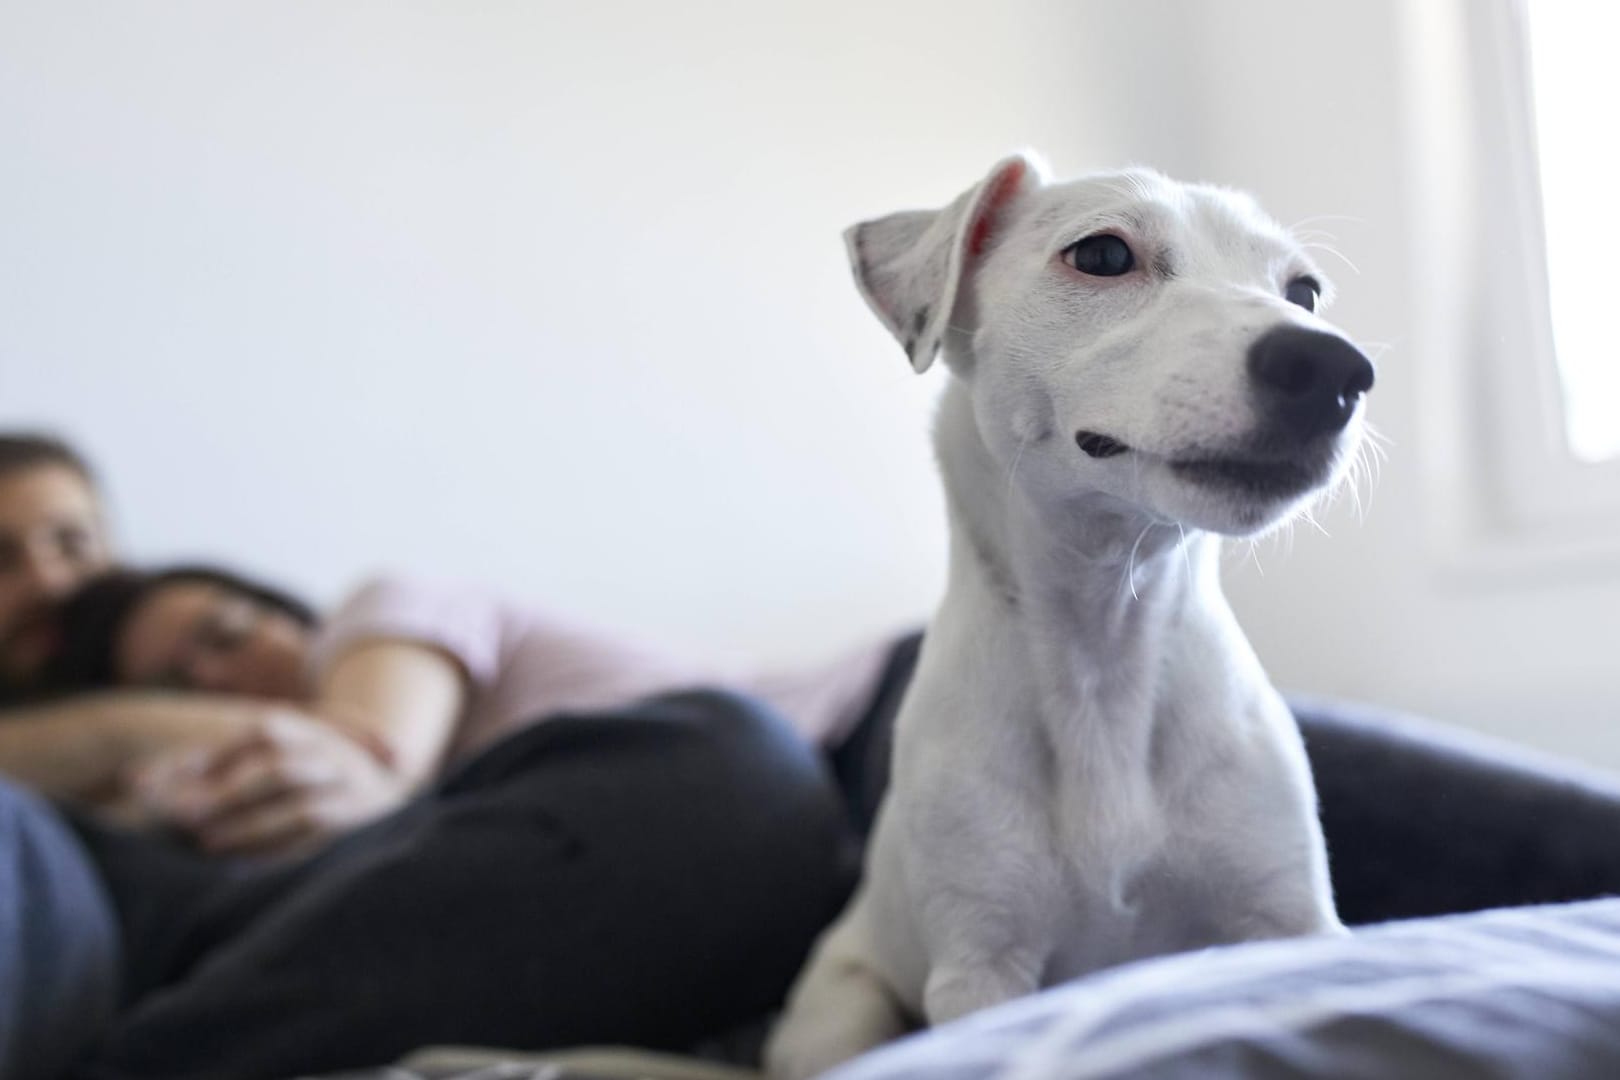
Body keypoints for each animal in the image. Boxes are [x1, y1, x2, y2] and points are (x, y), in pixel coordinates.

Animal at [764, 153, 1373, 1080]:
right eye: (1102, 255)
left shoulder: (1289, 920)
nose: (1336, 370)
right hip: (842, 1013)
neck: (1106, 644)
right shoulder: (983, 971)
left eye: (1302, 292)